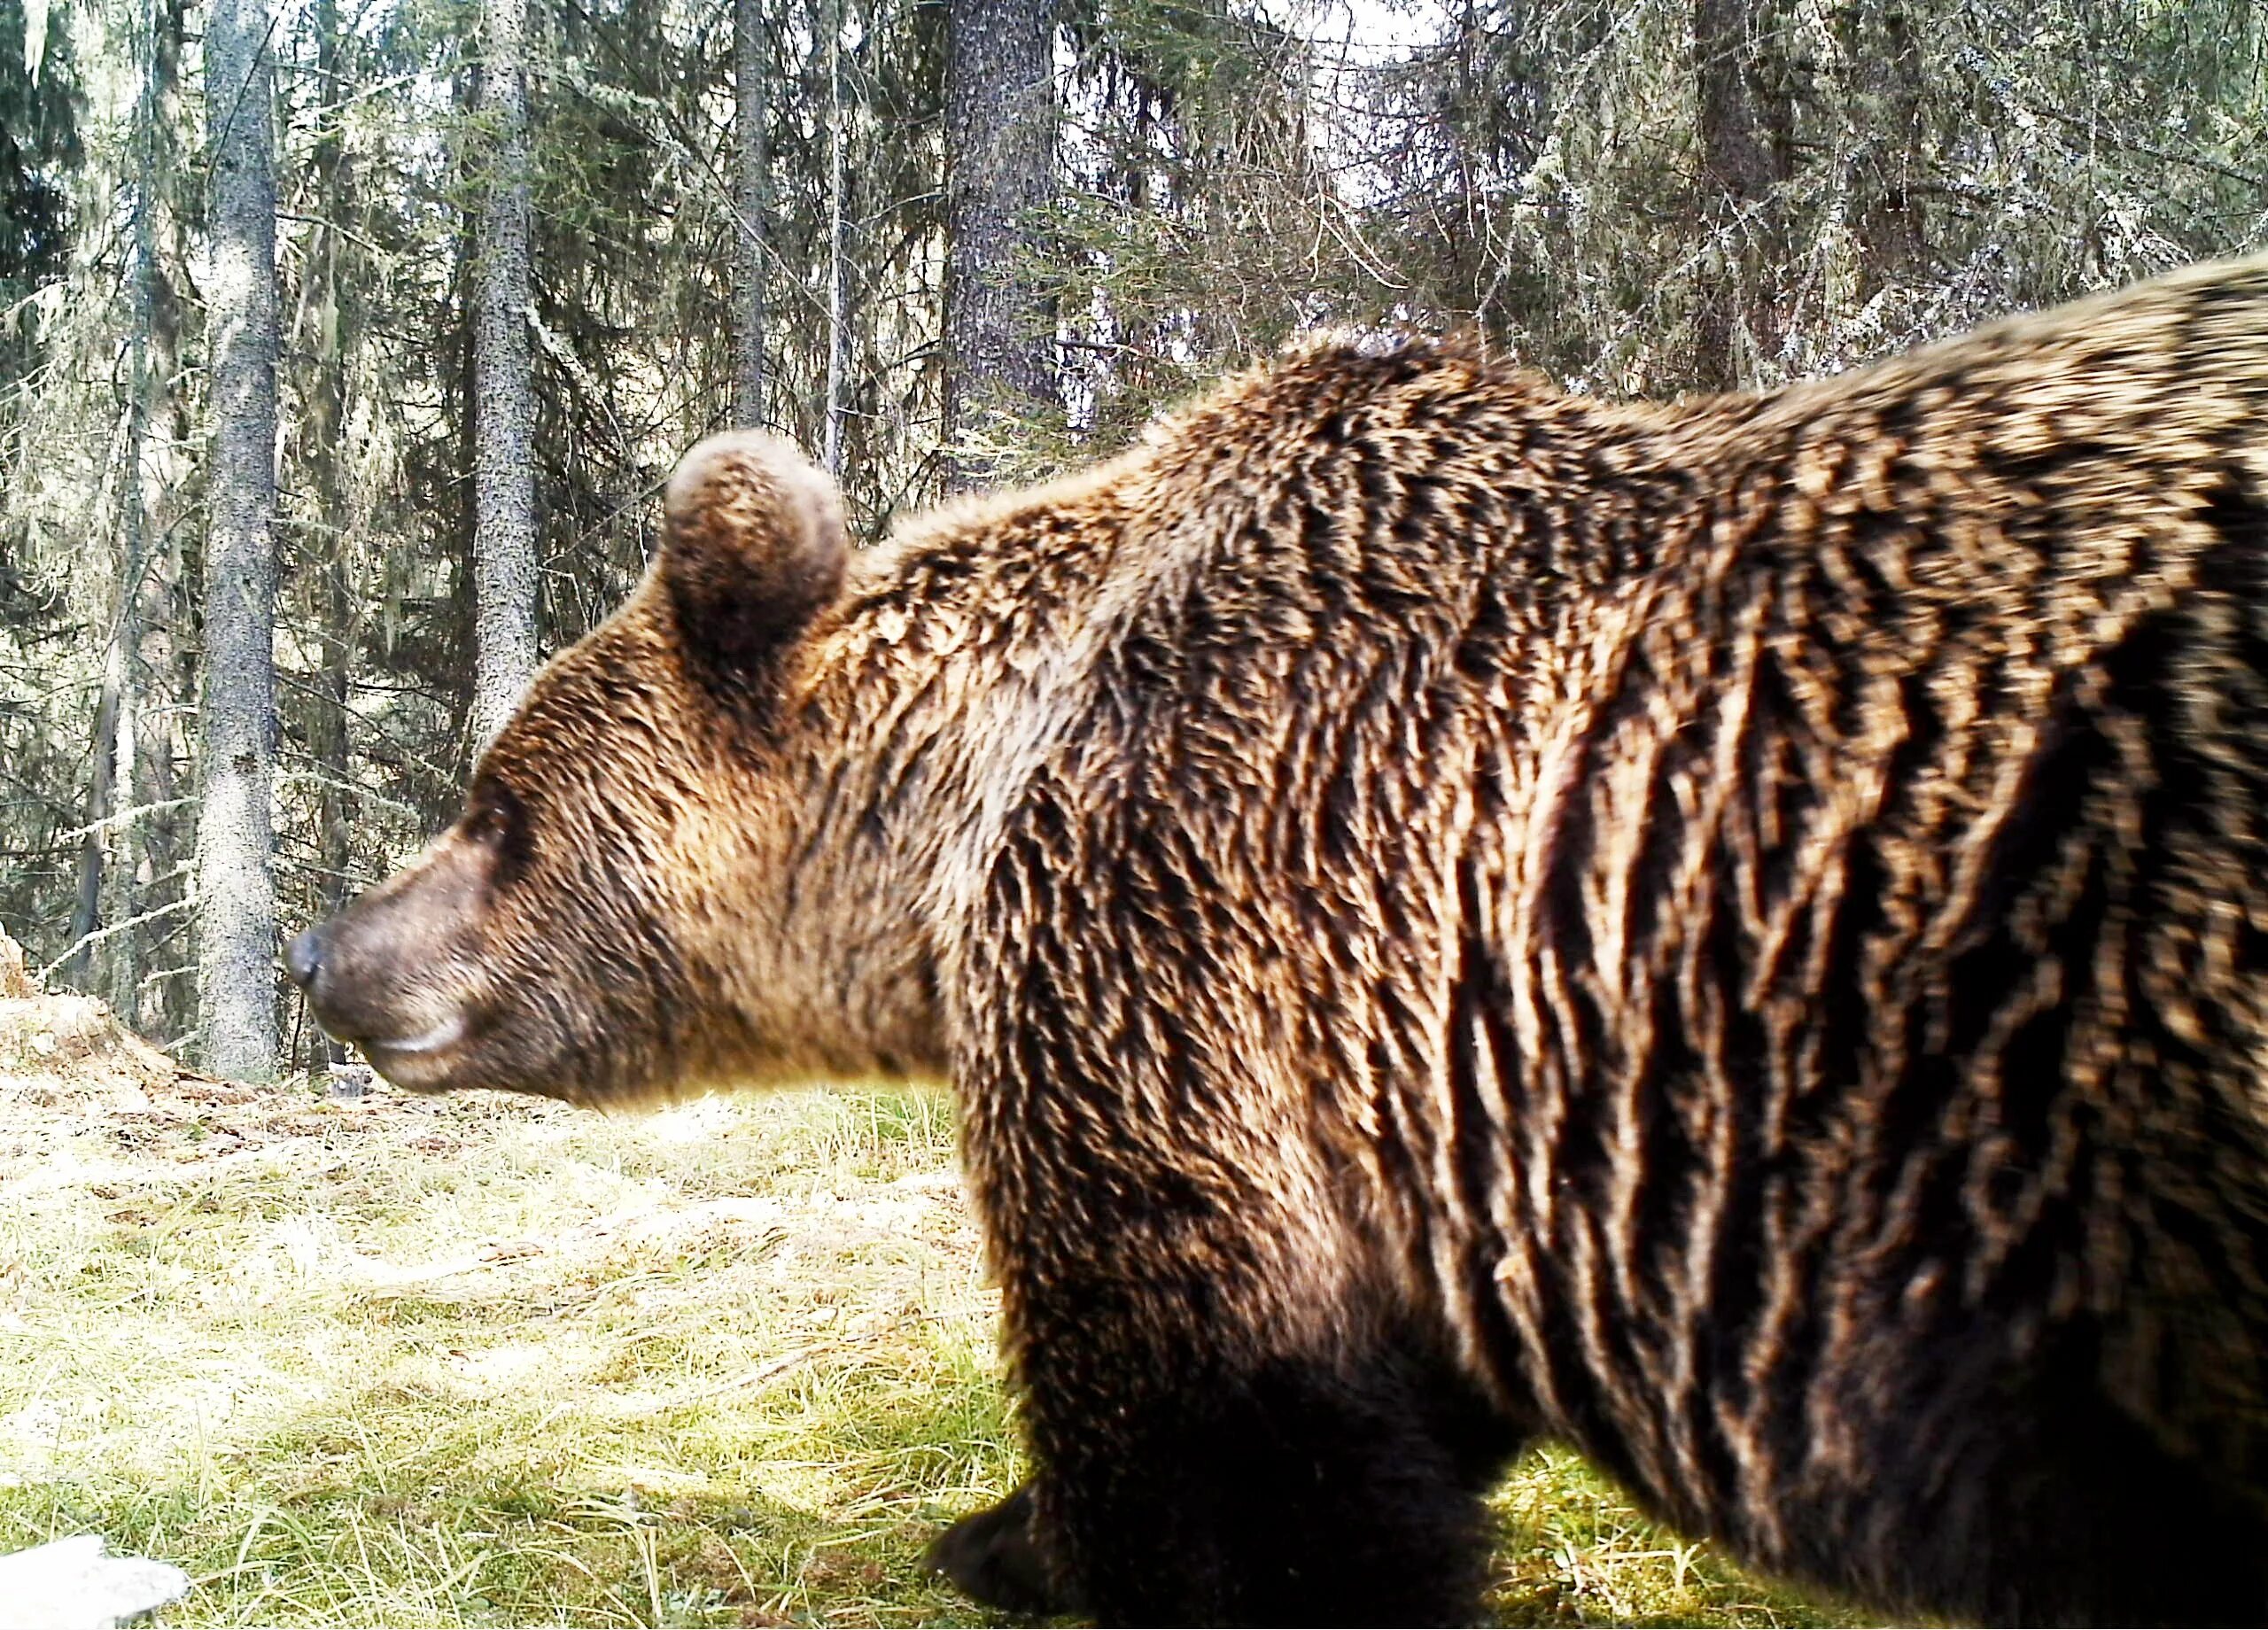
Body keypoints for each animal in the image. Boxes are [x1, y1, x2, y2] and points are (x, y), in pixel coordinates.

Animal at [288, 261, 2268, 1623]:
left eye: (495, 802)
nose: (326, 949)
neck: (959, 821)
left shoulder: (1183, 939)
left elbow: (1230, 1456)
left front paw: (1044, 1536)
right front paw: (1003, 1529)